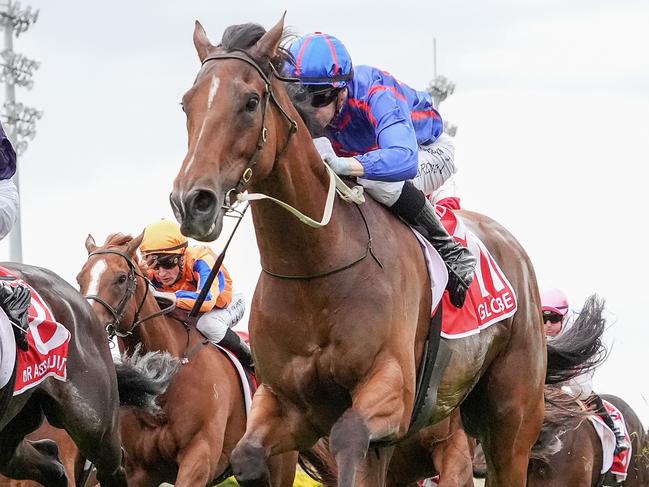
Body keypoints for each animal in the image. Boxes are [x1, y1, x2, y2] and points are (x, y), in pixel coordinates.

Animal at [171, 16, 592, 487]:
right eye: (187, 104)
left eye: (250, 101)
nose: (192, 202)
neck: (316, 267)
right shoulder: (288, 403)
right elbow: (248, 456)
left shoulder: (393, 389)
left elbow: (350, 435)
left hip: (510, 419)